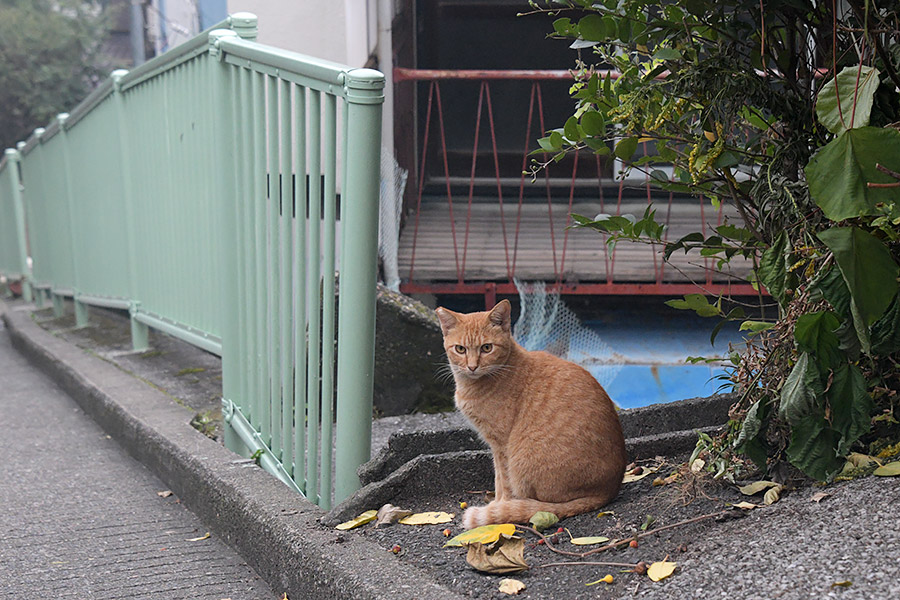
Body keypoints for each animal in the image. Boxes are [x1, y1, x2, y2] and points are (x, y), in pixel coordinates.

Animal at [436, 300, 624, 528]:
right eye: (460, 349)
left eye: (487, 348)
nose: (472, 367)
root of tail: (607, 490)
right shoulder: (495, 446)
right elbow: (498, 480)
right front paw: (497, 505)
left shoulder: (501, 445)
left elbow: (504, 482)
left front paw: (500, 507)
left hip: (522, 459)